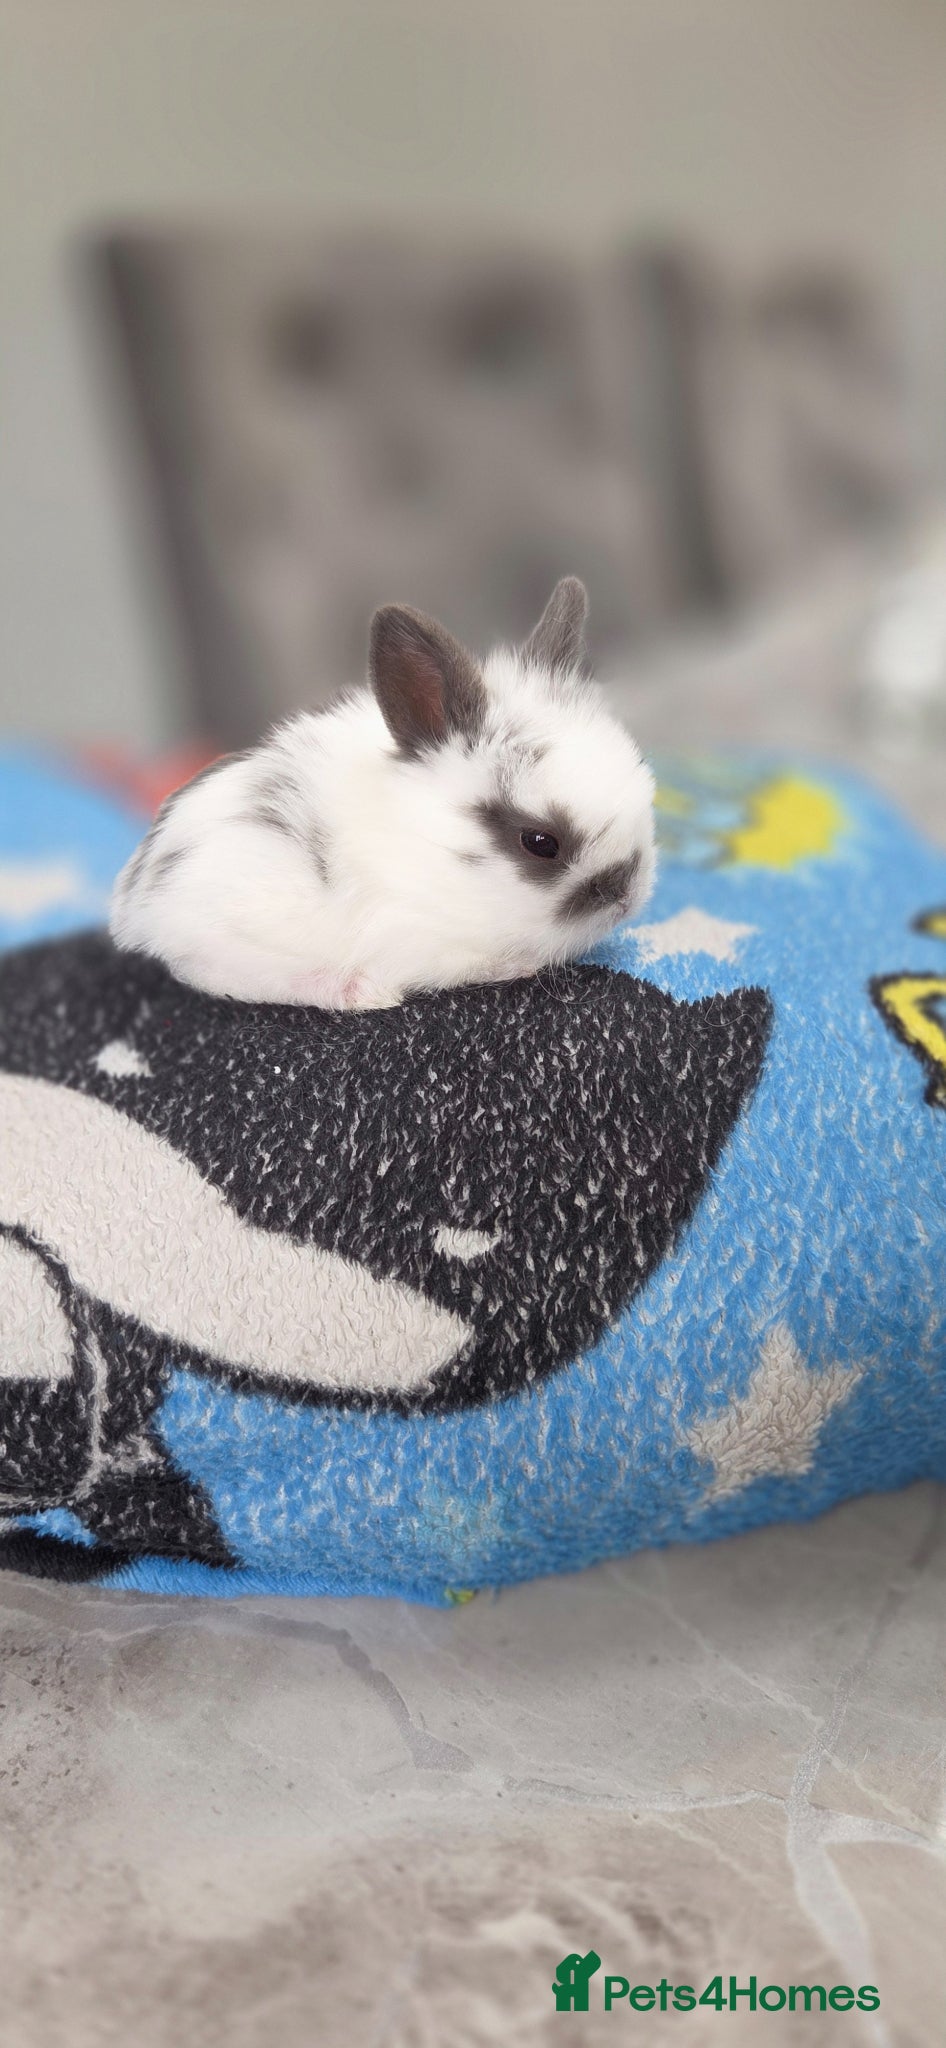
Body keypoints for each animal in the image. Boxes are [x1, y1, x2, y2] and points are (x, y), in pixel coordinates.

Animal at [109, 577, 656, 1010]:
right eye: (540, 843)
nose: (626, 896)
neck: (429, 846)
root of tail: (136, 895)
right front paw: (519, 966)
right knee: (212, 974)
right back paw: (355, 991)